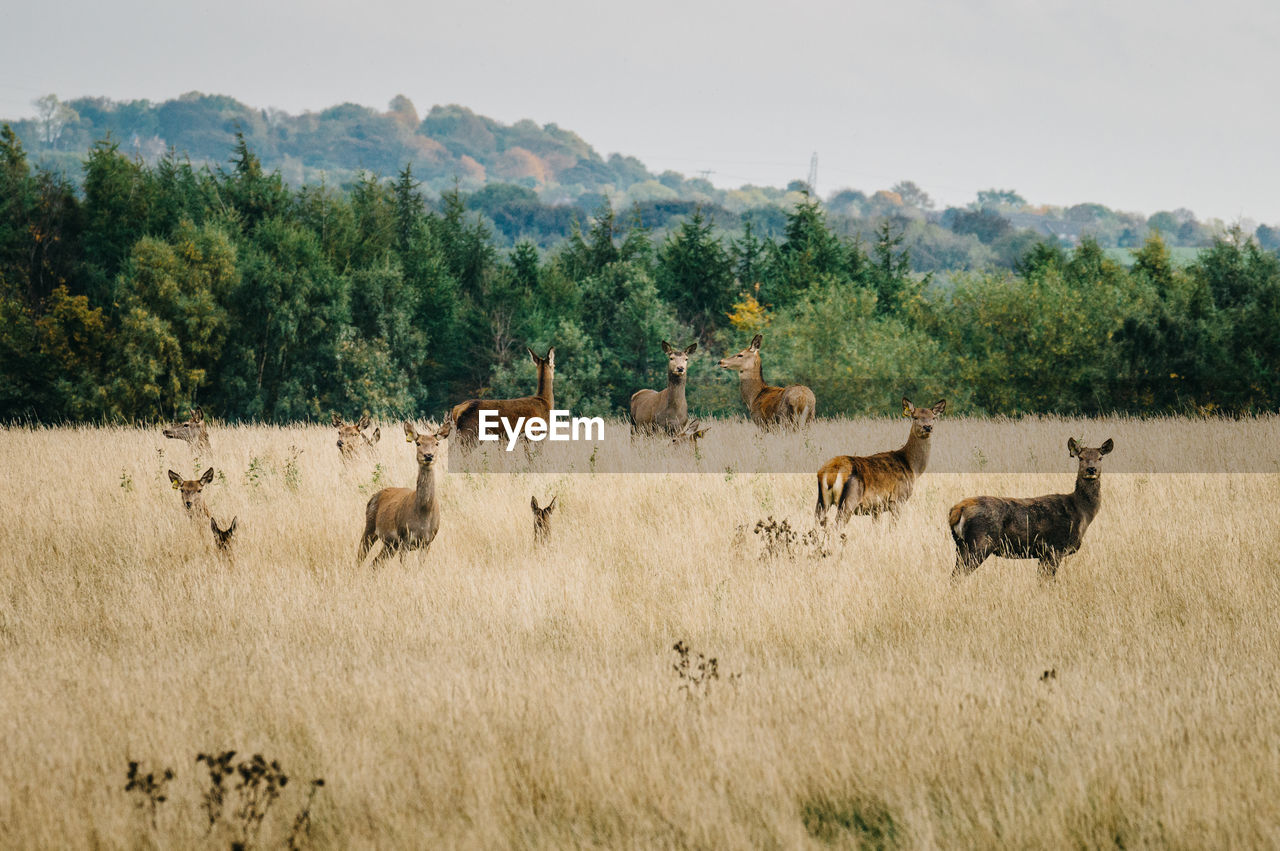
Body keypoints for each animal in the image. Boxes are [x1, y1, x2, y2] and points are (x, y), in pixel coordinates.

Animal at [360, 417, 455, 563]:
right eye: (418, 443)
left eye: (437, 443)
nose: (428, 455)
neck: (423, 512)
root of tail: (373, 496)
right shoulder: (404, 537)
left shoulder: (427, 542)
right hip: (370, 526)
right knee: (361, 555)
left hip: (391, 544)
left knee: (375, 562)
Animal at [814, 399, 947, 524]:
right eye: (915, 417)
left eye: (933, 417)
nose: (928, 427)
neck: (912, 467)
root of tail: (832, 472)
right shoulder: (897, 499)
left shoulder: (876, 508)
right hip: (849, 500)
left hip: (822, 500)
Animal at [947, 437, 1116, 578]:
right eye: (1081, 457)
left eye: (1100, 457)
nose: (1091, 469)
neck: (1081, 511)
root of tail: (957, 510)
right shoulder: (1055, 548)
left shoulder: (1044, 553)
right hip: (980, 542)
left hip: (961, 545)